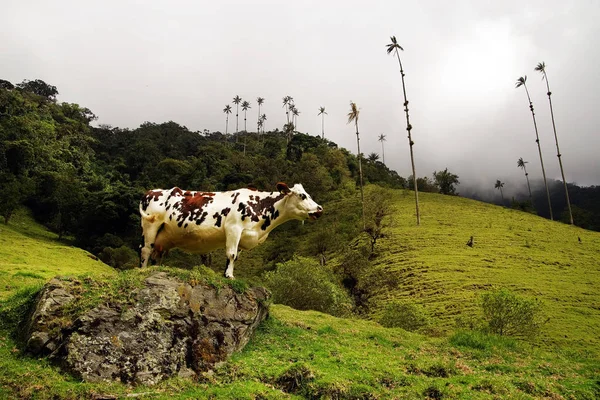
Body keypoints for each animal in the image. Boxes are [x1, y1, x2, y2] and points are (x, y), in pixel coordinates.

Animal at [139, 182, 324, 278]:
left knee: (156, 254)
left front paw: (227, 273)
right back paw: (143, 269)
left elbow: (235, 257)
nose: (320, 209)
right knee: (146, 250)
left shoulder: (243, 237)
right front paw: (229, 276)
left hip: (164, 237)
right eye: (302, 196)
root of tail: (152, 191)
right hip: (150, 225)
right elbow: (231, 254)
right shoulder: (233, 228)